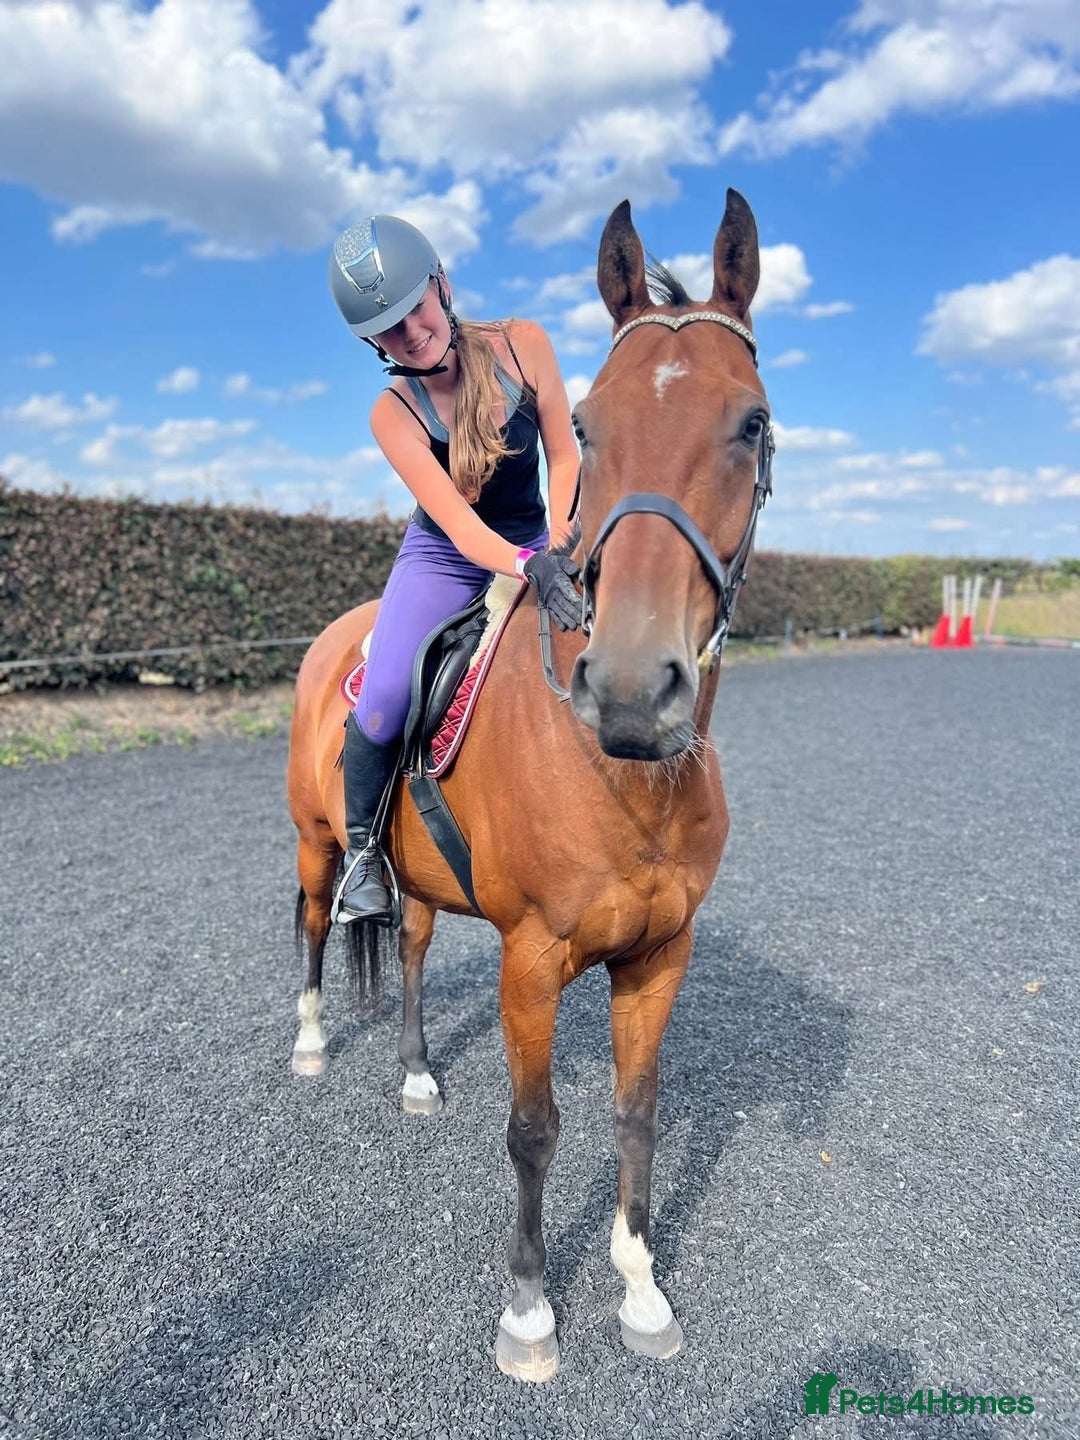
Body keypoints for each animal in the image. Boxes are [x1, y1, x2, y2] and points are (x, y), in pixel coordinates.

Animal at [285, 188, 773, 1383]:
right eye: (587, 426)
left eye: (751, 423)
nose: (634, 690)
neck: (623, 777)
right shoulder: (533, 960)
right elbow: (535, 1128)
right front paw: (529, 1311)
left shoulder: (658, 956)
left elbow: (636, 1117)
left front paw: (641, 1290)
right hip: (318, 845)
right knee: (316, 923)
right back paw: (311, 1041)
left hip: (415, 878)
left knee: (411, 950)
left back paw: (416, 1073)